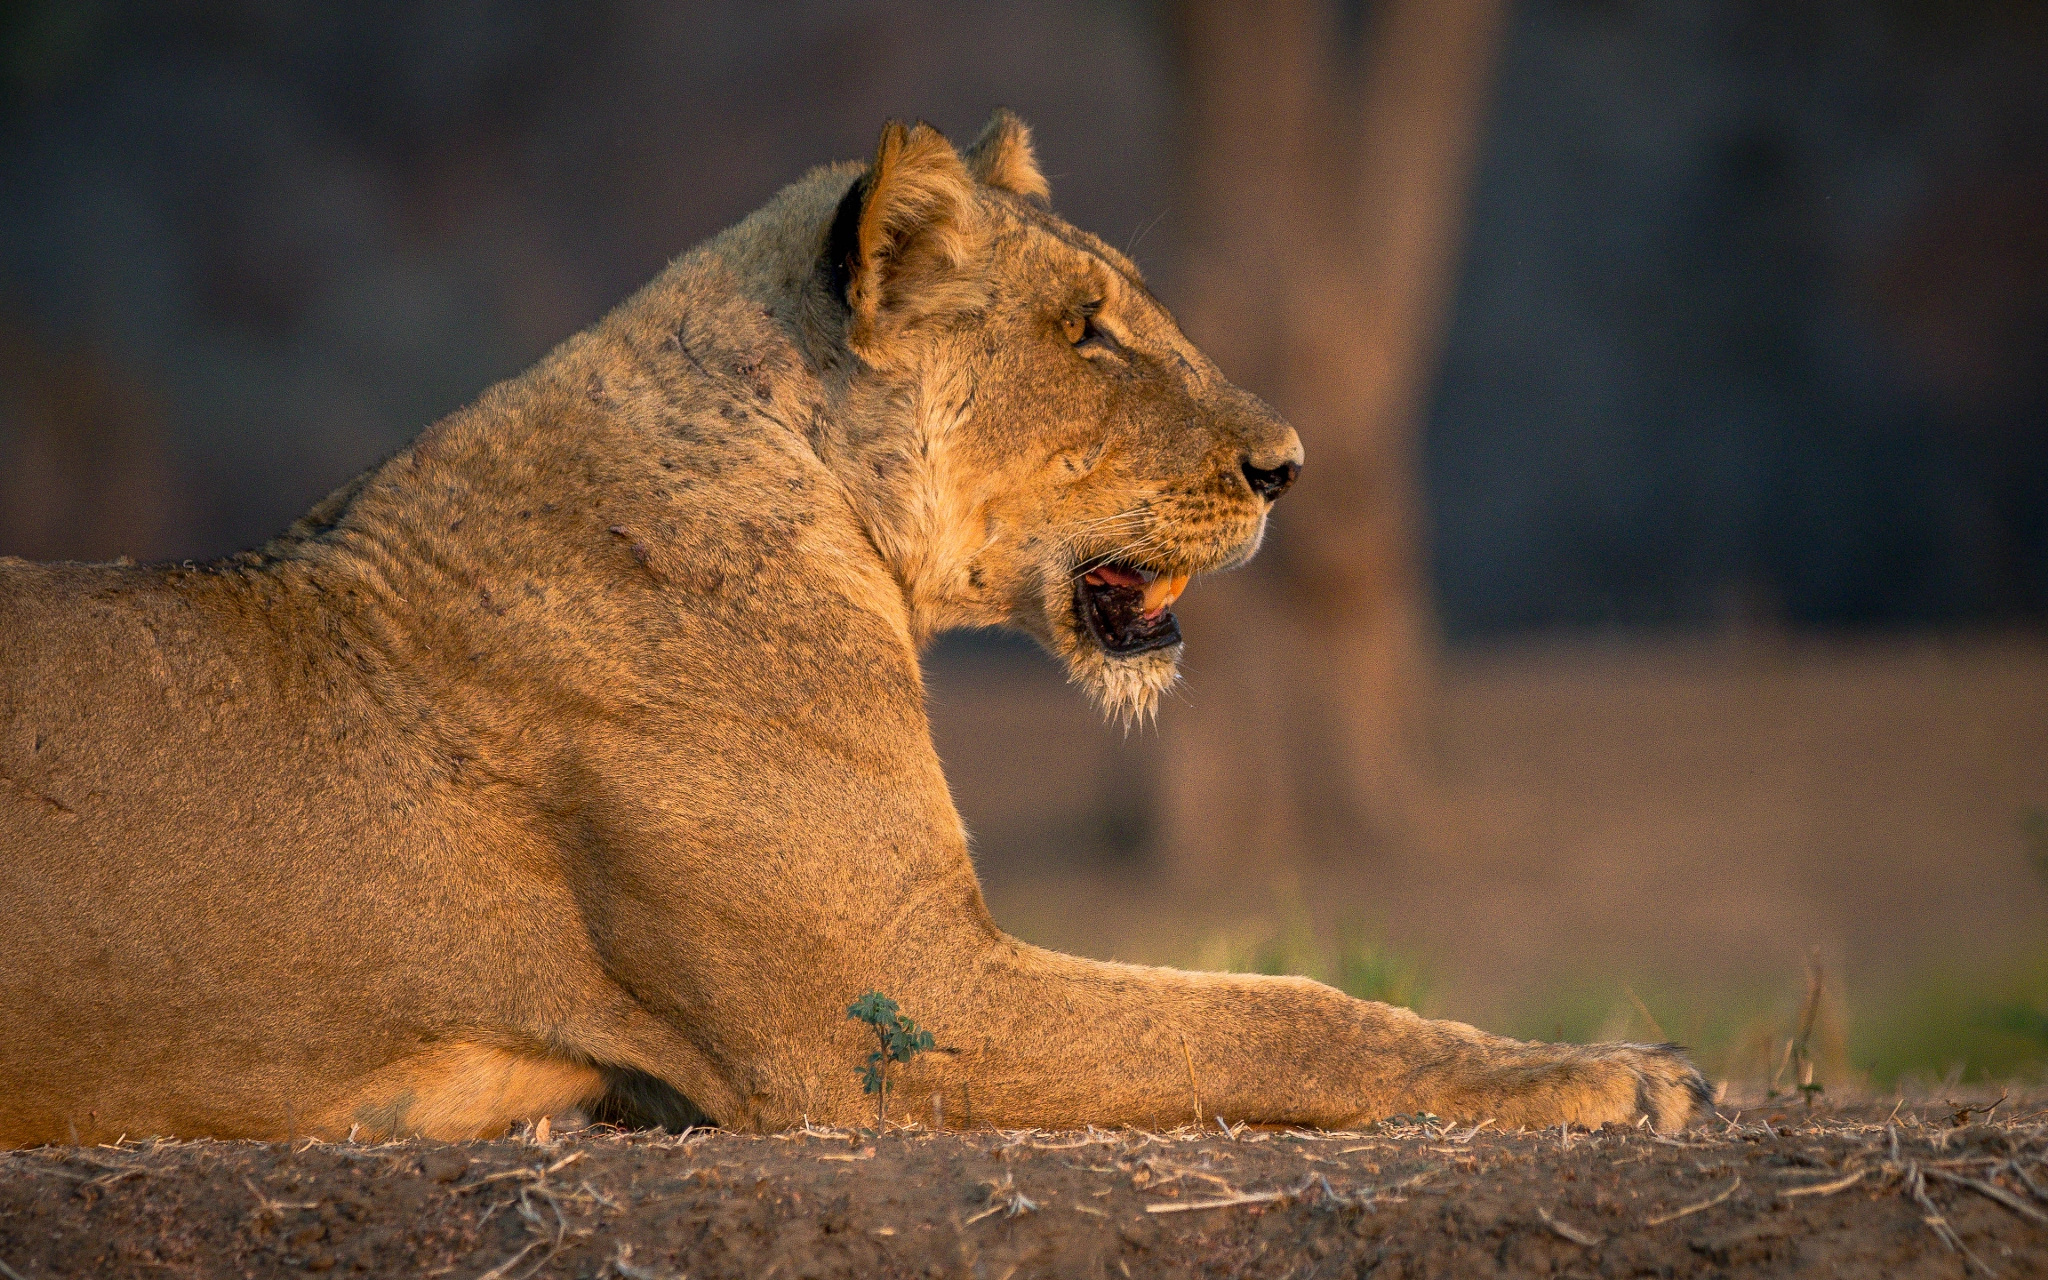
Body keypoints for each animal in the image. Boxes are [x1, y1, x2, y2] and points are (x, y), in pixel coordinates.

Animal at [0, 112, 1708, 1145]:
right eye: (1087, 335)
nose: (1291, 467)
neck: (832, 519)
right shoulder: (888, 1010)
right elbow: (1271, 1015)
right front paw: (1616, 1074)